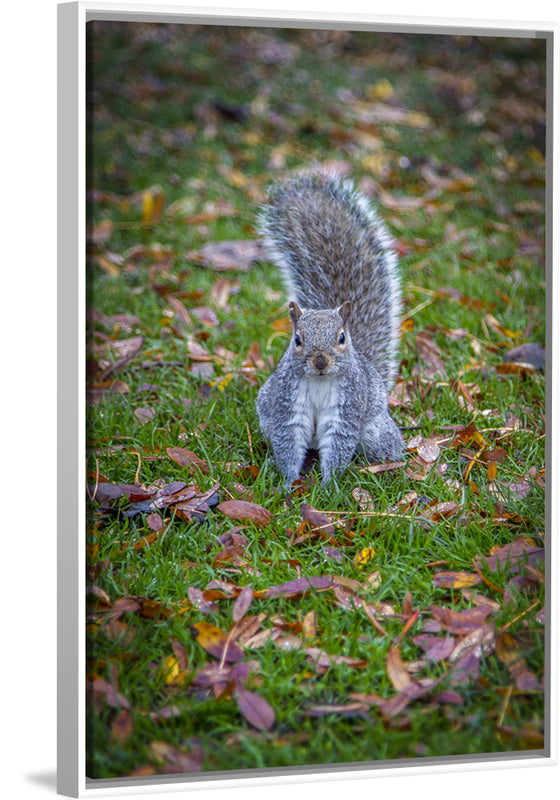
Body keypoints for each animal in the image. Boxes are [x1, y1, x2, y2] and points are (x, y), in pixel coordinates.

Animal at [256, 173, 404, 488]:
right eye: (297, 339)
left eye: (341, 338)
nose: (321, 361)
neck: (320, 381)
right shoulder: (286, 403)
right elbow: (288, 442)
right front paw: (288, 481)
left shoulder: (347, 406)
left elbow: (338, 442)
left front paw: (328, 485)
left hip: (374, 430)